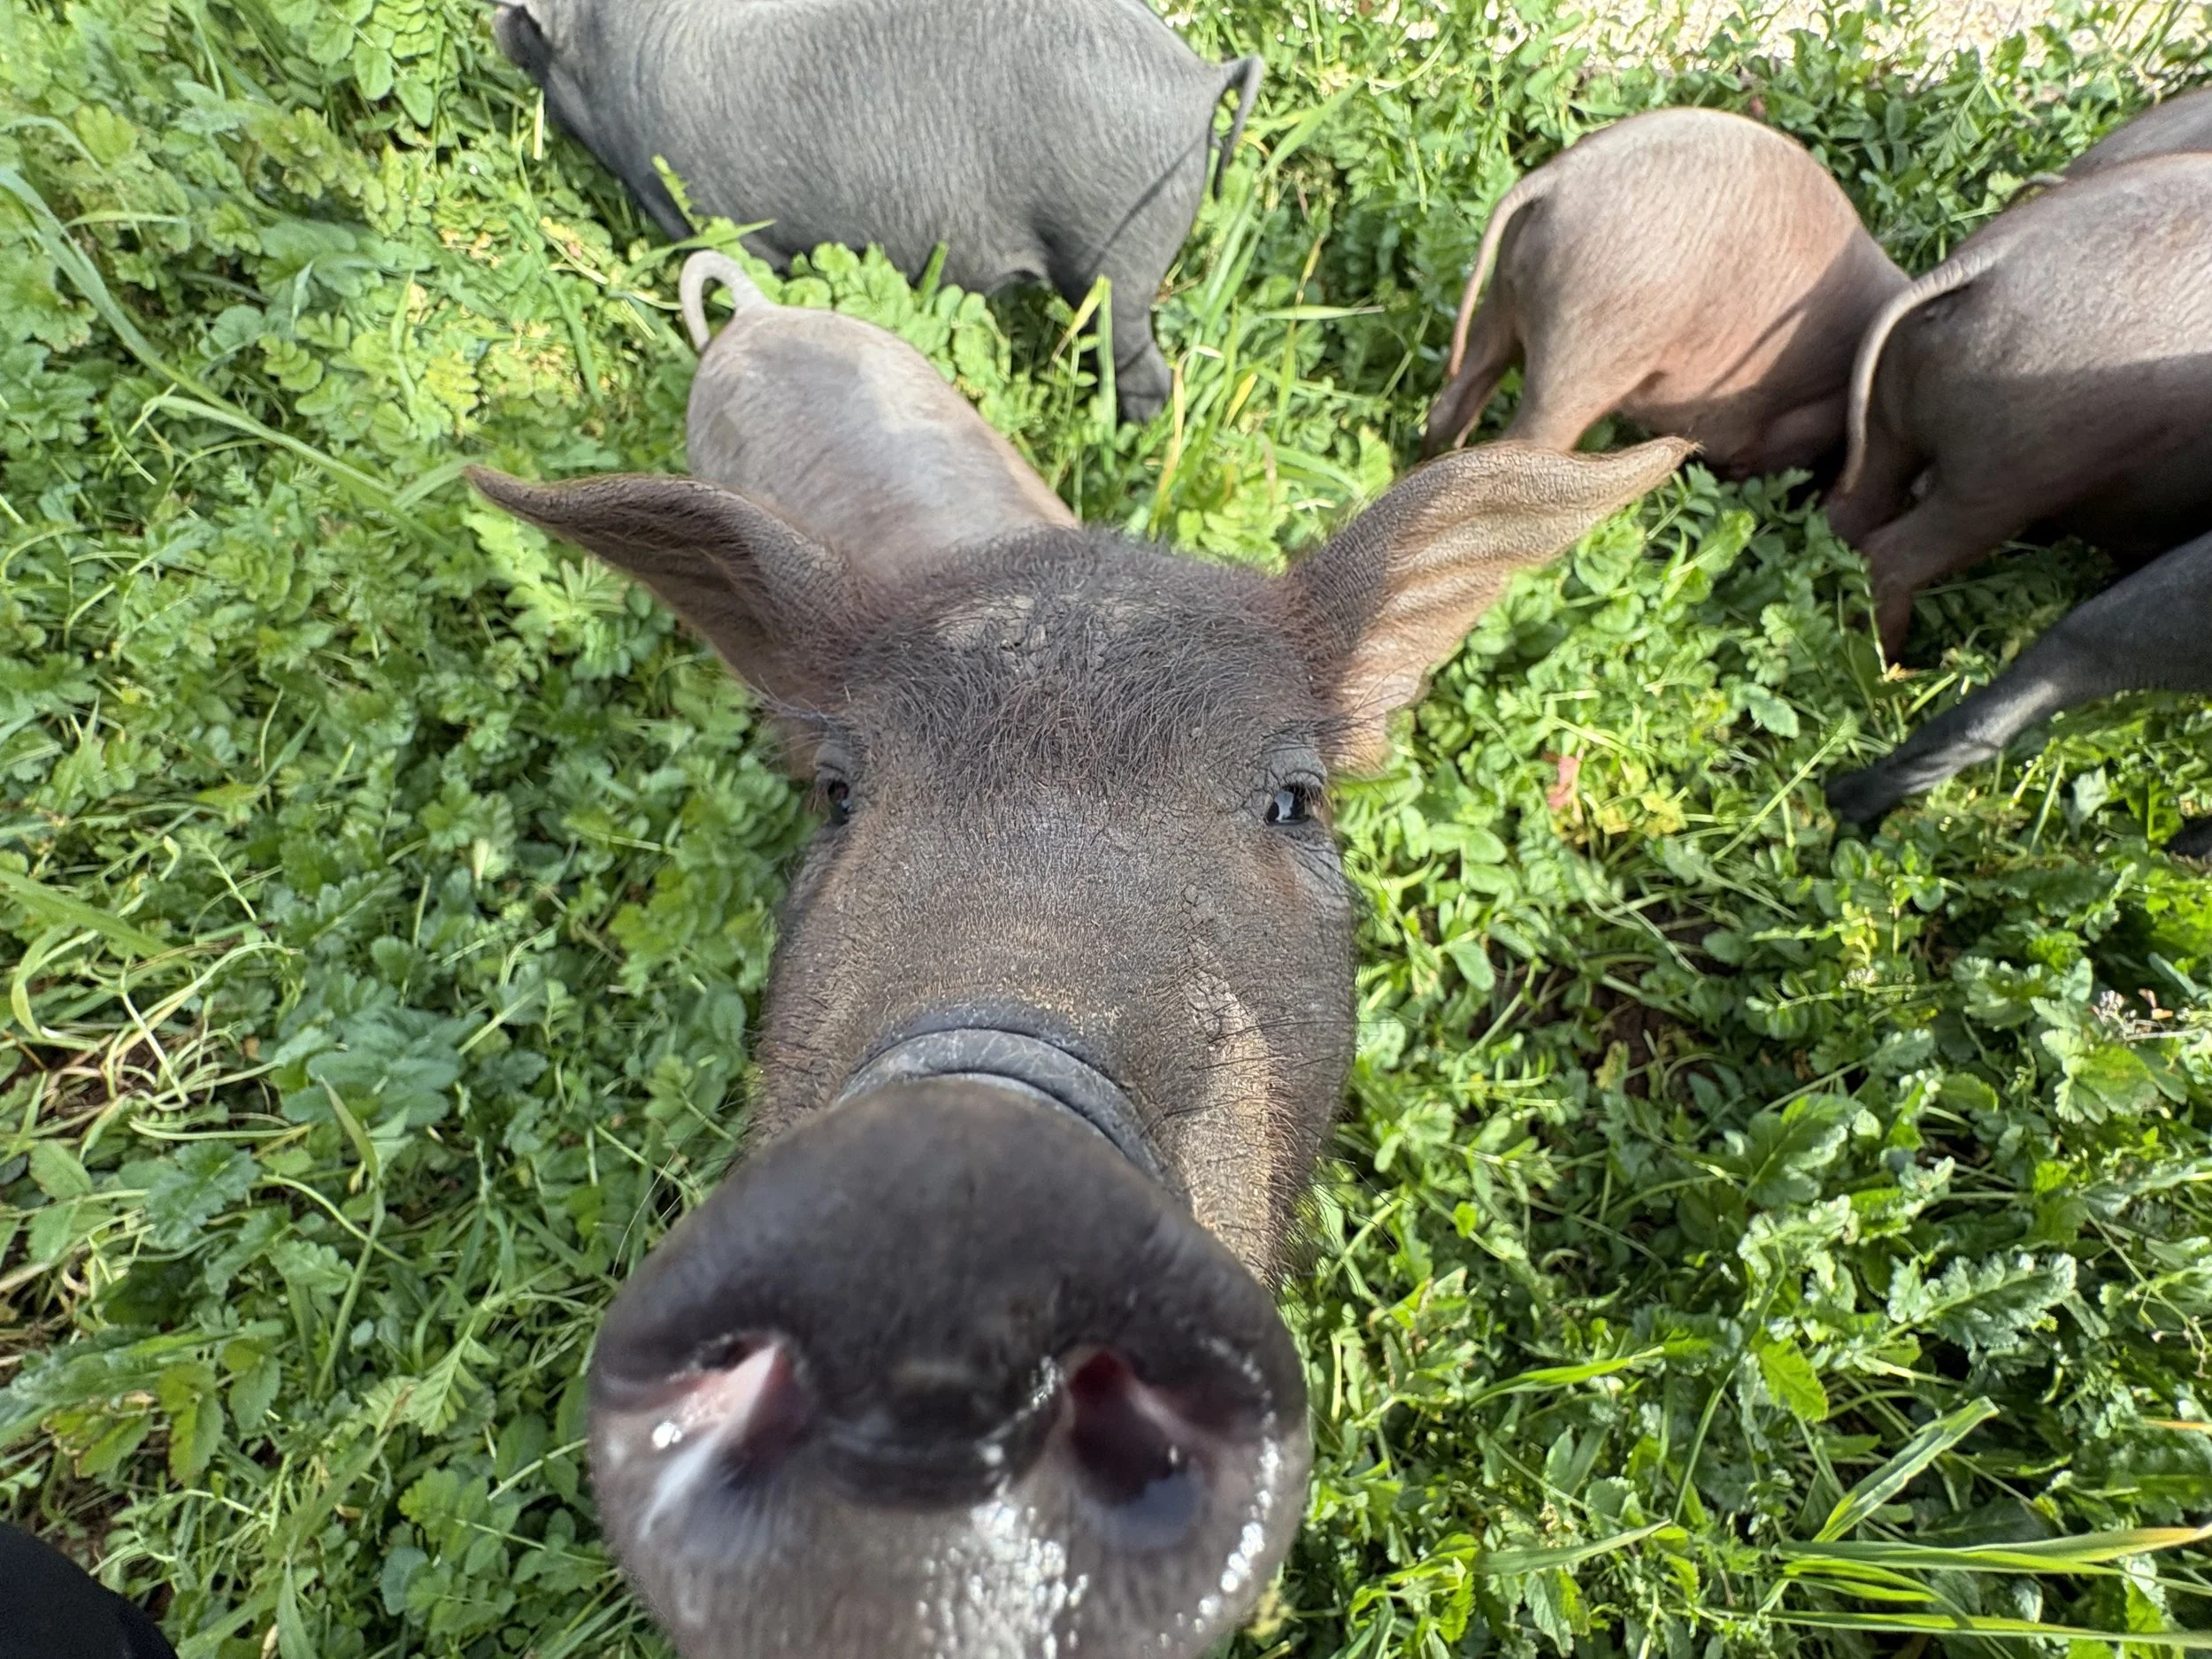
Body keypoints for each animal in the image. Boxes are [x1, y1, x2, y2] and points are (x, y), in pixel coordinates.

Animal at [1823, 152, 2212, 655]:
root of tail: (1989, 258)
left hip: (1891, 429)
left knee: (1845, 516)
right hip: (2000, 481)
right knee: (1889, 556)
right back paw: (1889, 663)